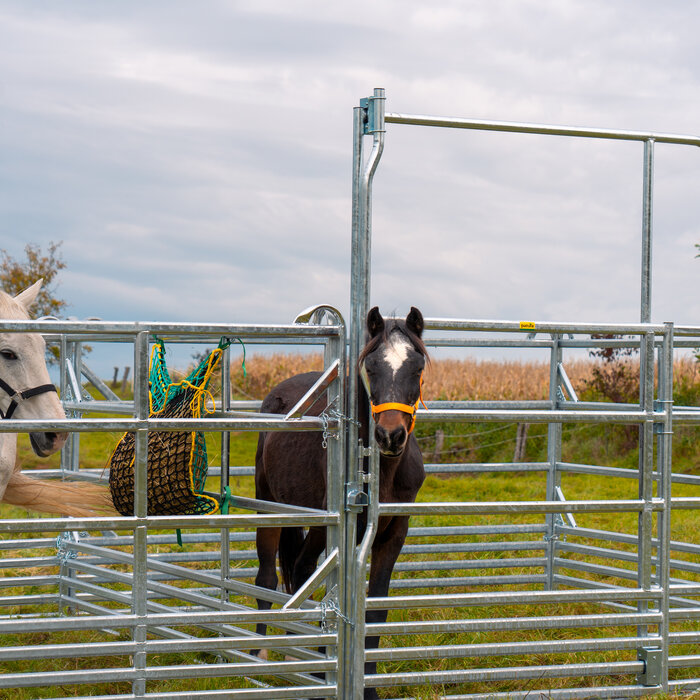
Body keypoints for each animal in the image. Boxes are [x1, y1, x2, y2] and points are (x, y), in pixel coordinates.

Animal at [254, 306, 428, 699]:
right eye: (372, 367)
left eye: (417, 367)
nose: (390, 436)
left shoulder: (394, 534)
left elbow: (374, 610)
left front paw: (370, 686)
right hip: (272, 506)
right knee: (273, 576)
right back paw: (257, 657)